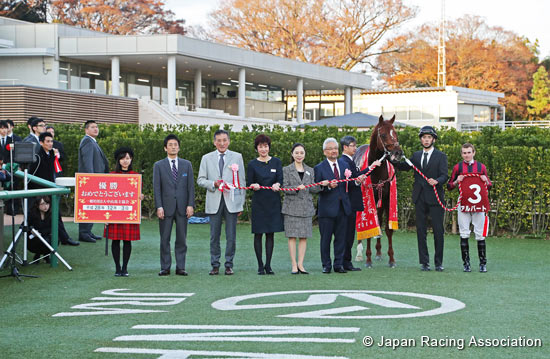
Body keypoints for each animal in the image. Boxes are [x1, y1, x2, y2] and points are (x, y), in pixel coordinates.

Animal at [354, 115, 406, 268]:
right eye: (382, 134)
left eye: (395, 133)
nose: (398, 153)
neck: (376, 171)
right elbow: (369, 227)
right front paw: (368, 259)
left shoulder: (388, 199)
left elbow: (387, 229)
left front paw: (391, 259)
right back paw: (359, 253)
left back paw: (378, 252)